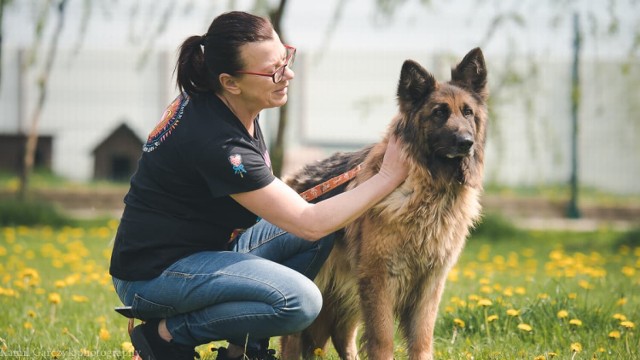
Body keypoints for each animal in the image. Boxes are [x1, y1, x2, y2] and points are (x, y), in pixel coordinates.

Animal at [280, 48, 484, 360]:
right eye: (439, 112)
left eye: (468, 112)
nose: (466, 142)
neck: (428, 187)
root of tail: (294, 180)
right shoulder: (380, 279)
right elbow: (383, 340)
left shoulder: (430, 284)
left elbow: (422, 341)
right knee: (293, 339)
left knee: (339, 338)